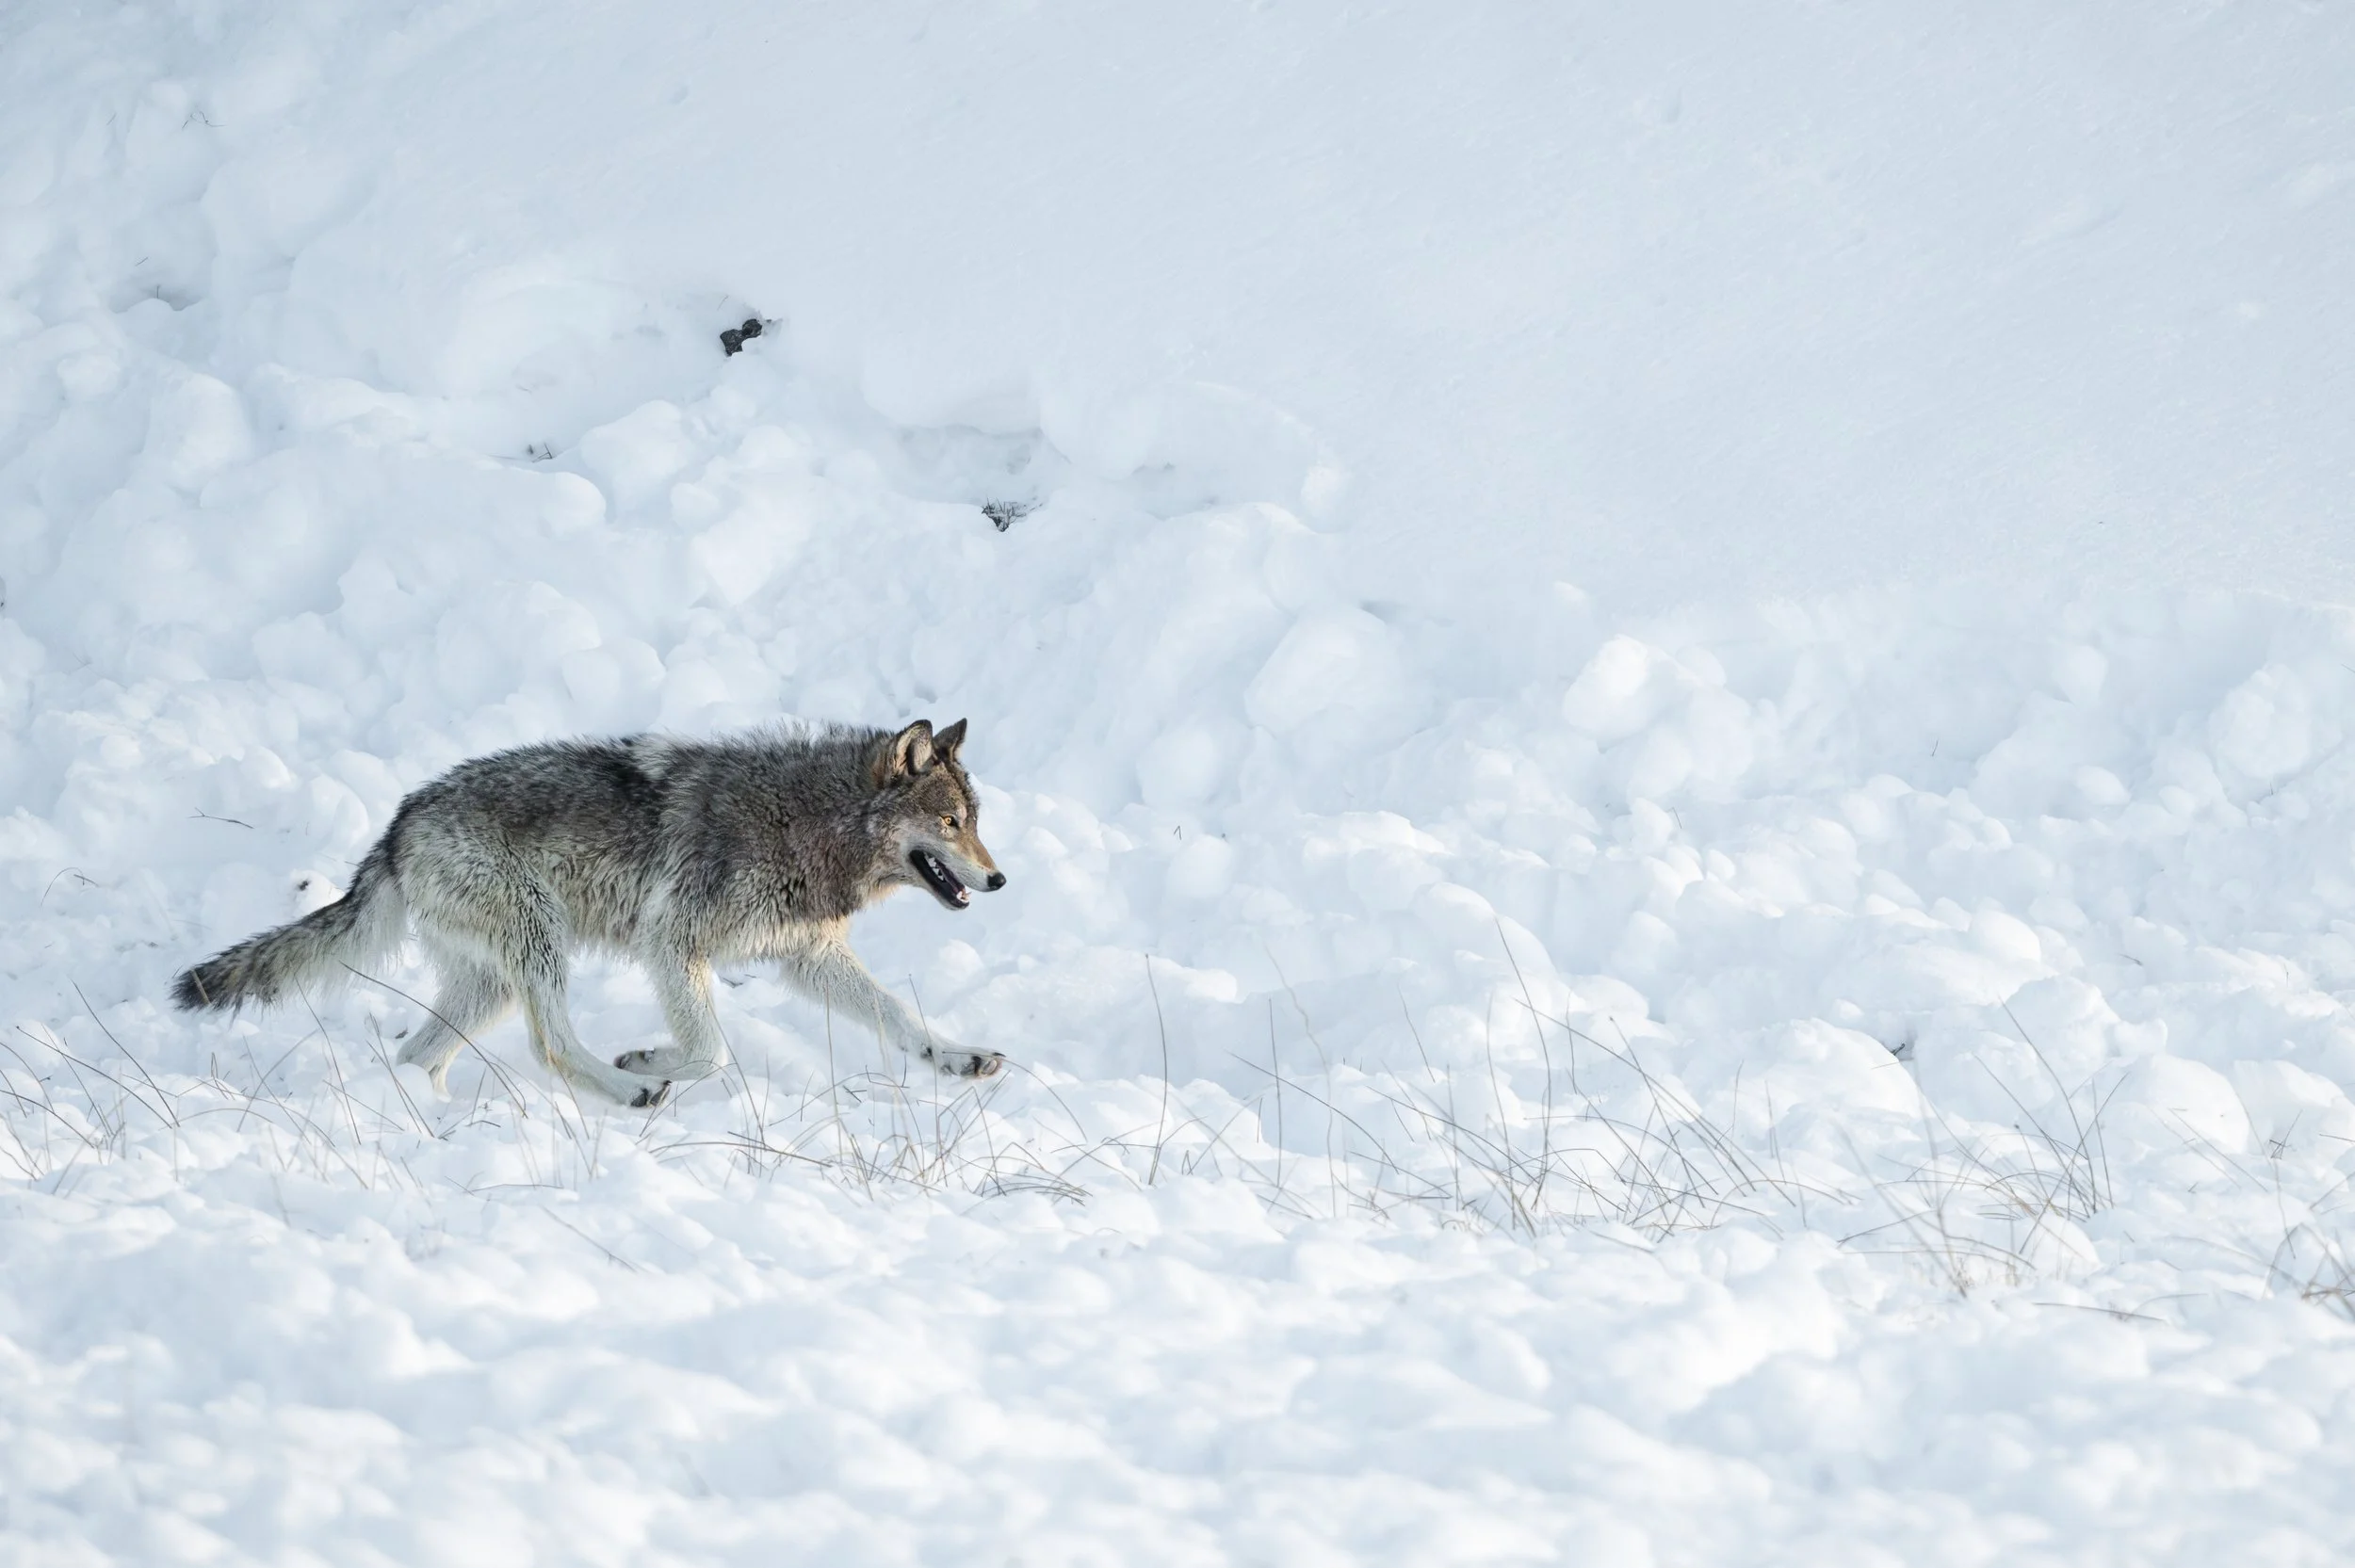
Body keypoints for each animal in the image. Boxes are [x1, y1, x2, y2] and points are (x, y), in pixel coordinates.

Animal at [172, 718, 1008, 1106]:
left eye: (974, 819)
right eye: (949, 823)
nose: (999, 879)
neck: (809, 822)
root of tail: (399, 822)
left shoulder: (809, 956)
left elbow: (900, 1016)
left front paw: (959, 1057)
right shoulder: (672, 944)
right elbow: (712, 1052)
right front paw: (645, 1061)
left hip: (494, 982)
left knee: (418, 1056)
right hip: (537, 944)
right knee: (549, 1044)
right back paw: (627, 1092)